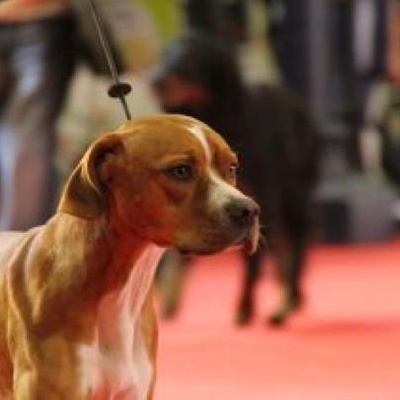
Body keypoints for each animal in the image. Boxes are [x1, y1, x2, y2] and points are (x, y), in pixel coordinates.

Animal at [152, 32, 320, 324]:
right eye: (165, 55)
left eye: (191, 59)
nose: (157, 79)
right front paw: (170, 296)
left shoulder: (256, 201)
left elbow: (253, 260)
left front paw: (245, 306)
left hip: (294, 195)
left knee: (295, 247)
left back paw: (287, 299)